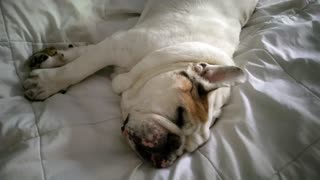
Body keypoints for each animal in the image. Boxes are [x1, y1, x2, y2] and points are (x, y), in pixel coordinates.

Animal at [23, 0, 258, 167]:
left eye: (187, 150)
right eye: (180, 115)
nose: (172, 146)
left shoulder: (112, 47)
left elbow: (85, 54)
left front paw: (54, 60)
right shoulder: (116, 45)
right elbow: (81, 66)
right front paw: (47, 81)